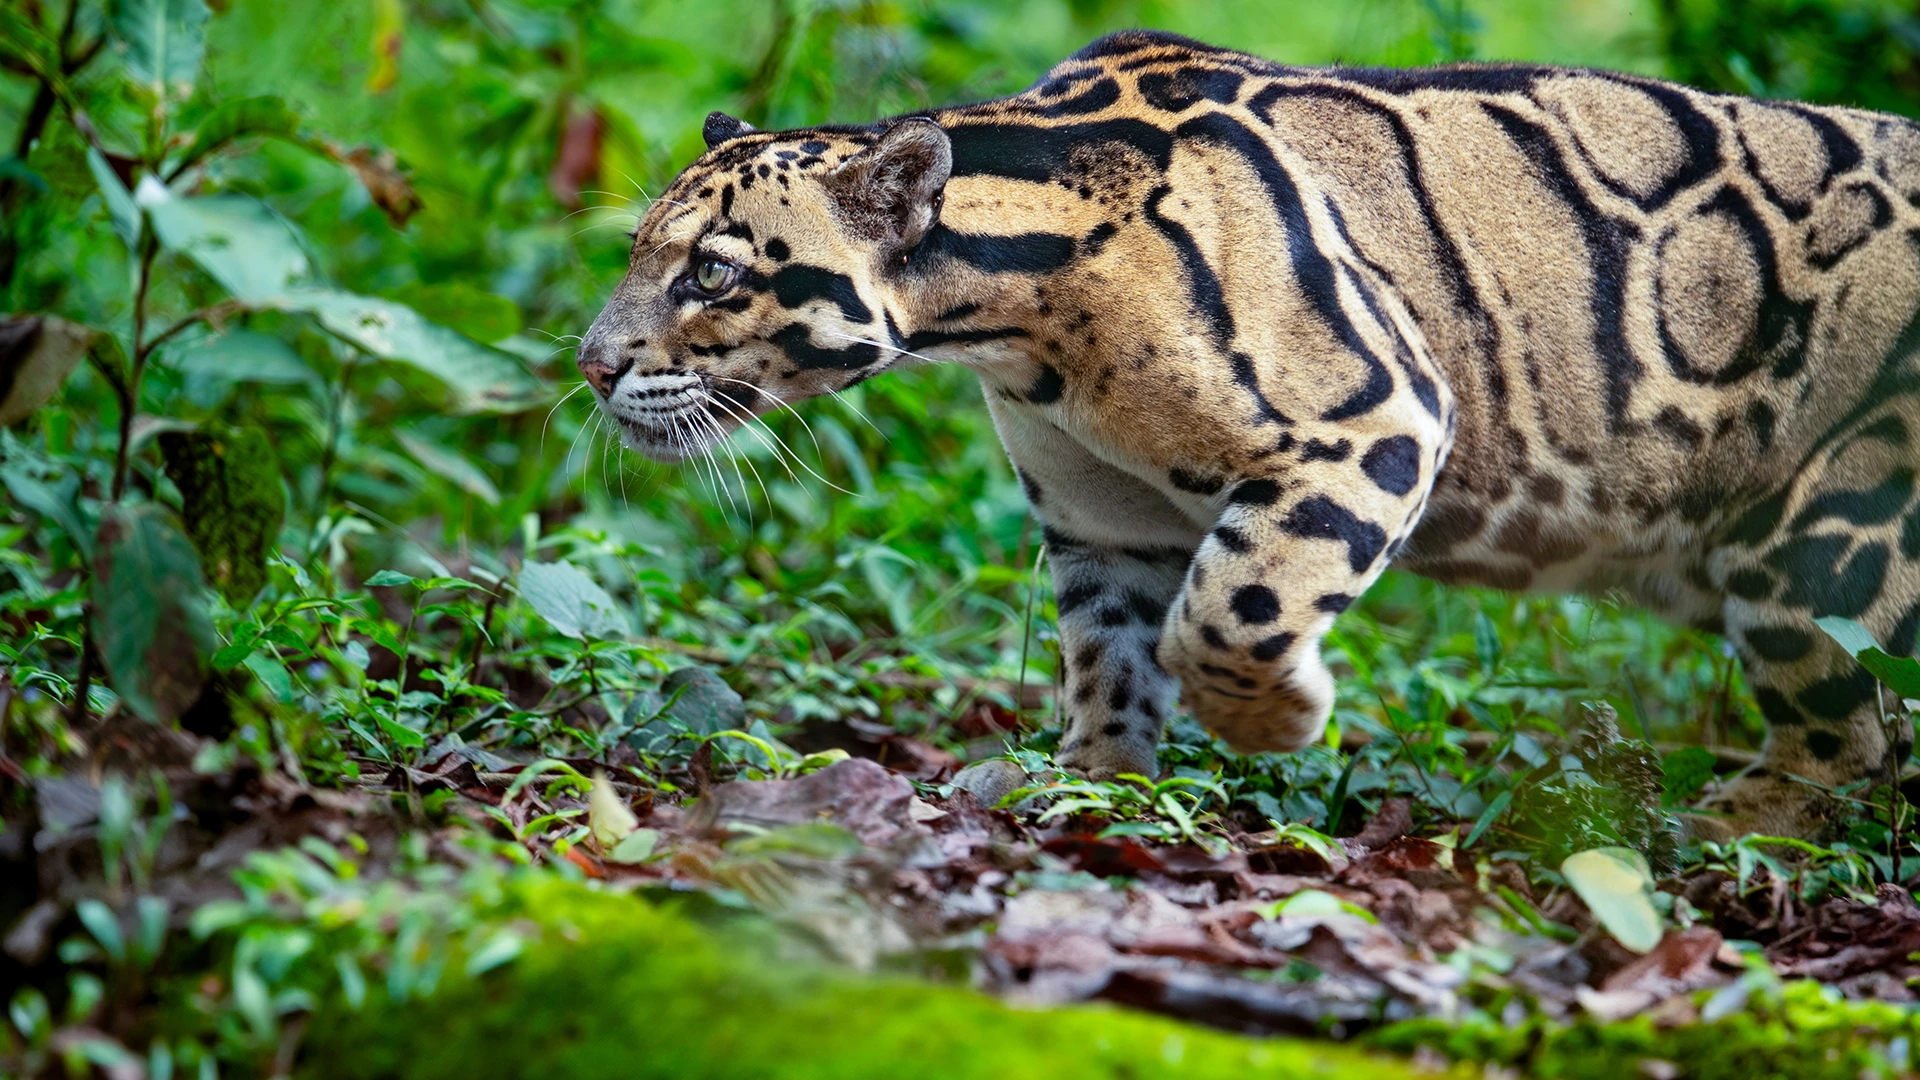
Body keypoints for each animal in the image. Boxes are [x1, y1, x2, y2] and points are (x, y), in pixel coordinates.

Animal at [576, 29, 1920, 840]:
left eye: (709, 273)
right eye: (639, 252)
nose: (591, 365)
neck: (1016, 330)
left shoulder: (1373, 415)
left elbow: (1230, 608)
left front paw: (1281, 722)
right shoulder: (1100, 519)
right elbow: (1112, 652)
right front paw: (1095, 779)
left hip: (1826, 538)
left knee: (1845, 734)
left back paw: (1712, 823)